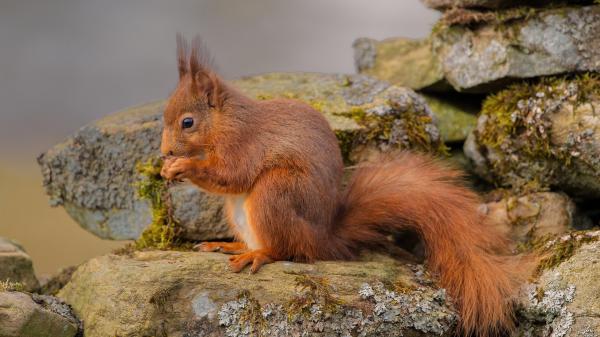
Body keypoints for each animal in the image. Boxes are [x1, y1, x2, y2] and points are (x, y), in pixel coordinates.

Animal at [162, 35, 528, 334]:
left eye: (188, 122)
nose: (164, 152)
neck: (224, 122)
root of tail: (323, 238)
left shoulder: (245, 145)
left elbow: (232, 174)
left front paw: (183, 166)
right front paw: (168, 169)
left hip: (275, 192)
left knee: (285, 250)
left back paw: (258, 254)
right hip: (239, 210)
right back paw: (230, 246)